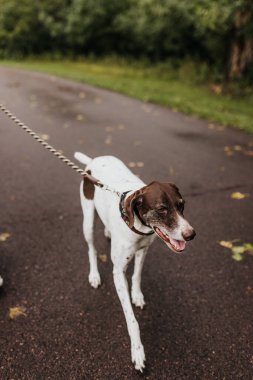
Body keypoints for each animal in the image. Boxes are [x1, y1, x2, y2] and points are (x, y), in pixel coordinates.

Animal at [73, 152, 196, 372]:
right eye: (161, 209)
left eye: (182, 205)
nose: (191, 235)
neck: (138, 227)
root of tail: (93, 161)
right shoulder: (118, 273)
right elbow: (132, 321)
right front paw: (137, 351)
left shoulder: (143, 250)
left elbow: (137, 275)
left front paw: (137, 295)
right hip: (87, 220)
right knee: (91, 248)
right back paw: (94, 274)